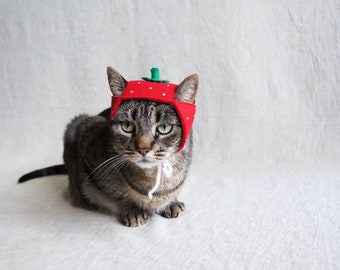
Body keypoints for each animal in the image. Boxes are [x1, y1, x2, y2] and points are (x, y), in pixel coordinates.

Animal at [17, 66, 199, 227]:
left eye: (164, 128)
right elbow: (117, 194)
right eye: (127, 126)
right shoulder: (84, 136)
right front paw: (132, 209)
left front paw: (171, 202)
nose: (143, 149)